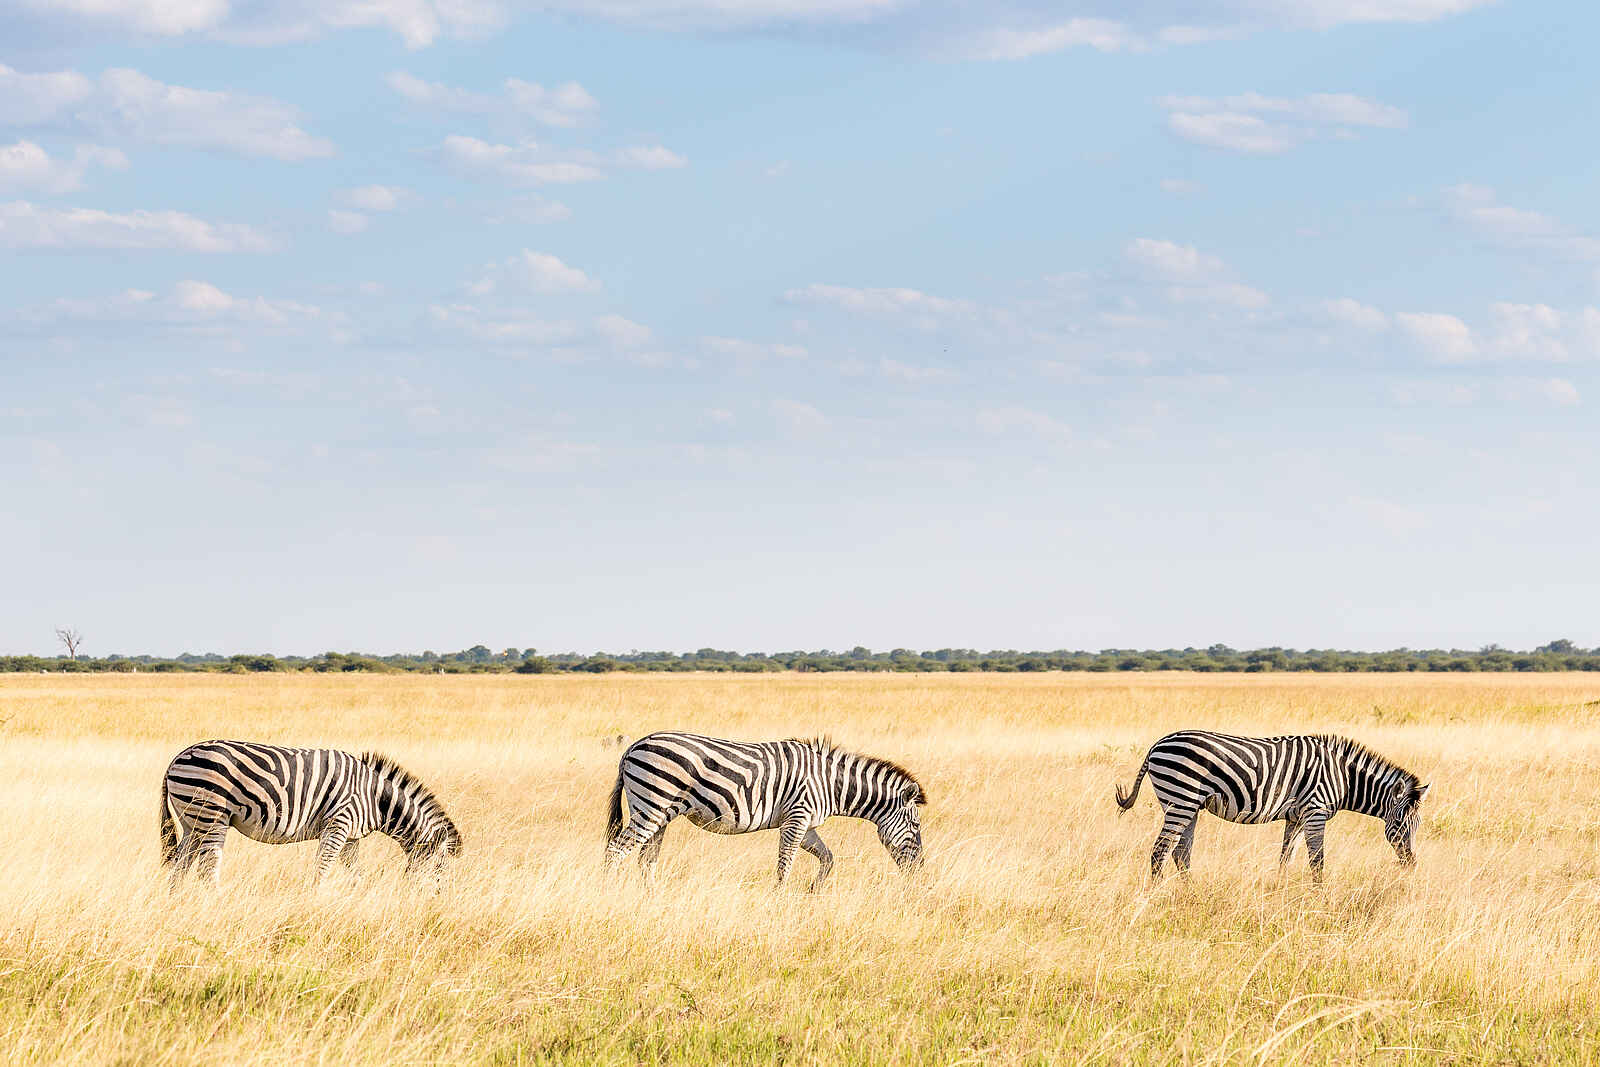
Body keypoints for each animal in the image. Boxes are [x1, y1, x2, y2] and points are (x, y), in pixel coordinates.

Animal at [159, 740, 463, 886]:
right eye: (440, 869)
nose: (440, 900)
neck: (375, 799)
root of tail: (177, 758)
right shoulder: (338, 824)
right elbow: (322, 869)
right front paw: (314, 902)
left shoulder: (351, 837)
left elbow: (356, 875)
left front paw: (359, 901)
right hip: (212, 815)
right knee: (208, 869)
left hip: (191, 821)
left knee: (179, 866)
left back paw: (178, 905)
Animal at [604, 732, 927, 889]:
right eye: (917, 827)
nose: (920, 868)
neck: (830, 784)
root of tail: (632, 747)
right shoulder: (797, 817)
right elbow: (785, 864)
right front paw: (779, 900)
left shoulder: (807, 825)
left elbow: (828, 858)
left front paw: (813, 891)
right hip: (651, 806)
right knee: (615, 851)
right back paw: (611, 895)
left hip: (660, 812)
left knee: (645, 859)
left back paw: (651, 898)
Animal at [1115, 731, 1428, 882]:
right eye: (1399, 825)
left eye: (1418, 826)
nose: (1412, 865)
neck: (1344, 778)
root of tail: (1157, 743)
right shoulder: (1315, 812)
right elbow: (1317, 860)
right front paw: (1320, 897)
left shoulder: (1297, 817)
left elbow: (1285, 857)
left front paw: (1280, 891)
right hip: (1180, 798)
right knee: (1160, 850)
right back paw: (1158, 895)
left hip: (1188, 805)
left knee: (1181, 853)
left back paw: (1188, 892)